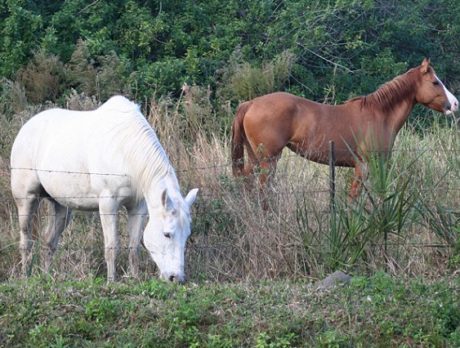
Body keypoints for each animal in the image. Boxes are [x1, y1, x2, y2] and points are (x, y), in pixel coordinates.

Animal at [10, 95, 198, 282]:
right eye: (167, 234)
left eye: (187, 234)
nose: (176, 278)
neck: (125, 150)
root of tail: (25, 128)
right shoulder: (108, 205)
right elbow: (112, 246)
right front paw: (111, 282)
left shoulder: (138, 207)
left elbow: (134, 247)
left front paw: (135, 278)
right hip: (27, 199)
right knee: (25, 241)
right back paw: (25, 278)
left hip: (62, 207)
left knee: (49, 241)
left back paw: (47, 277)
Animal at [232, 58, 458, 197]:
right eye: (435, 82)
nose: (455, 104)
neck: (380, 114)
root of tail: (250, 103)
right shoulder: (364, 167)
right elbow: (355, 199)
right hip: (268, 161)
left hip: (255, 158)